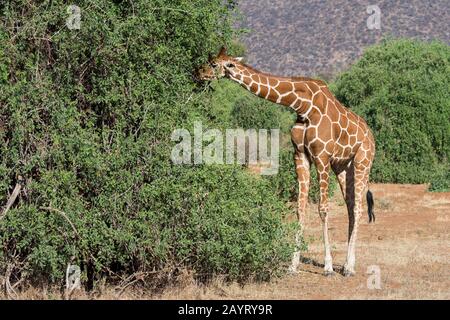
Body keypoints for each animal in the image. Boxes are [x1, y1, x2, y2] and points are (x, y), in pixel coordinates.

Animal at [198, 46, 376, 276]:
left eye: (213, 64)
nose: (199, 72)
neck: (302, 106)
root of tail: (371, 135)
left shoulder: (322, 157)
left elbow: (323, 208)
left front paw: (328, 266)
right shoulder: (300, 155)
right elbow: (300, 208)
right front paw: (293, 265)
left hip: (363, 161)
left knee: (358, 208)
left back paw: (349, 268)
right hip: (343, 167)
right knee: (351, 206)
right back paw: (346, 264)